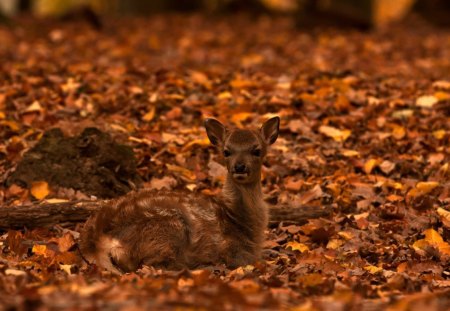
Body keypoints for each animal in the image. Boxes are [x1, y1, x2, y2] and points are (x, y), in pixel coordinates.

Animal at [79, 116, 280, 272]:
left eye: (257, 150)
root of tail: (93, 238)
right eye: (226, 151)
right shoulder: (233, 249)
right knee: (155, 265)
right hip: (169, 228)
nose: (239, 166)